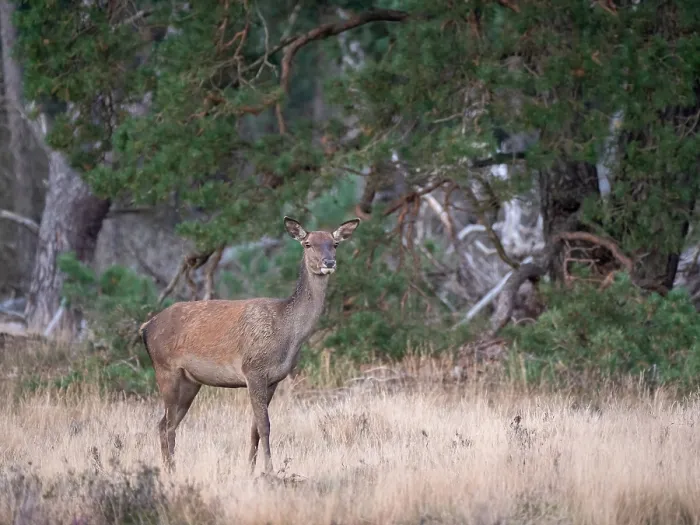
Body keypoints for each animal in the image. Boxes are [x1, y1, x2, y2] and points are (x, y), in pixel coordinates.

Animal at [139, 216, 360, 475]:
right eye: (307, 244)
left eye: (334, 244)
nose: (329, 262)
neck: (287, 333)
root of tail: (146, 327)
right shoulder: (253, 370)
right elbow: (265, 426)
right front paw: (270, 471)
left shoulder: (273, 378)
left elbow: (255, 428)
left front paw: (250, 470)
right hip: (166, 370)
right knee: (167, 425)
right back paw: (171, 471)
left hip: (190, 381)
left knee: (165, 423)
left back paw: (170, 469)